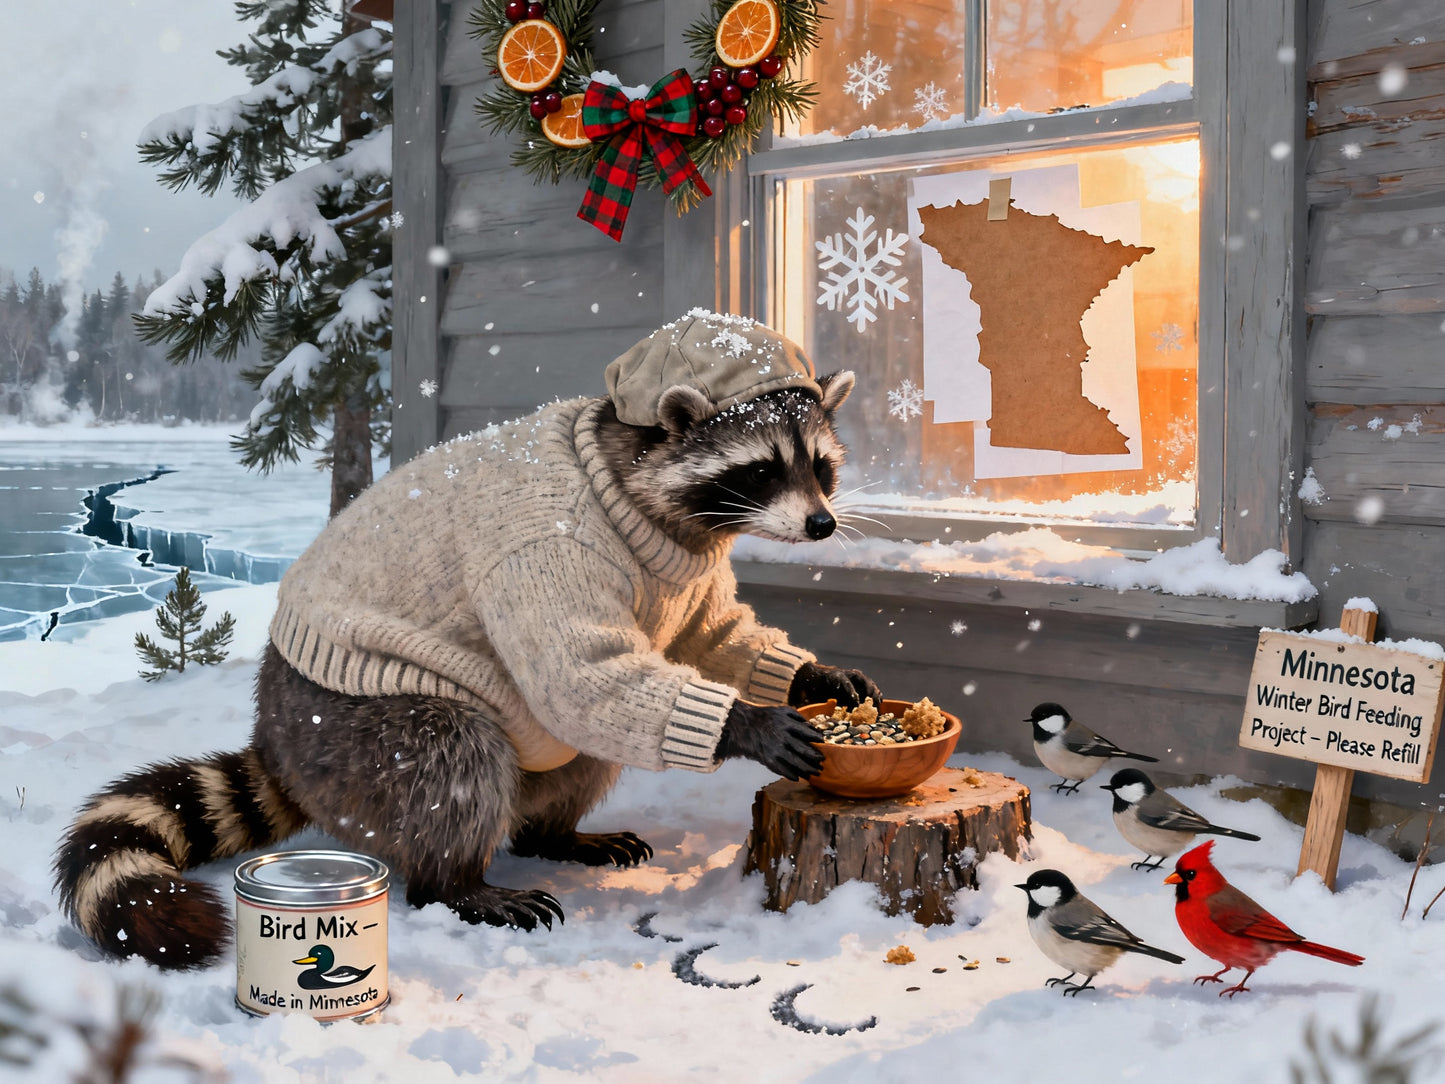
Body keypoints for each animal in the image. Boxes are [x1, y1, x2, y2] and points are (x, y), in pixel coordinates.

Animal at [55, 314, 882, 969]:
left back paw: (554, 833)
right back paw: (454, 882)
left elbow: (711, 636)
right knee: (454, 755)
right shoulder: (541, 553)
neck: (642, 494)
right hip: (348, 731)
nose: (820, 525)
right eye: (762, 467)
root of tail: (278, 740)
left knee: (578, 752)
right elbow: (578, 672)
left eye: (821, 467)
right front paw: (747, 723)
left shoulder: (691, 569)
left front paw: (810, 676)